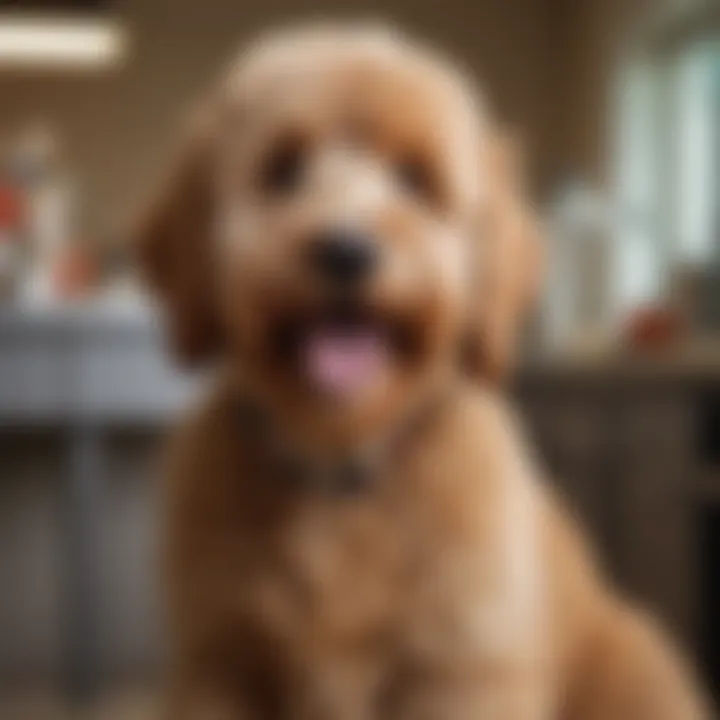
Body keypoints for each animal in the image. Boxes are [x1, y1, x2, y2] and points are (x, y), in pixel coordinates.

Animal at [138, 23, 712, 720]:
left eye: (415, 178)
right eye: (283, 169)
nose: (346, 250)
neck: (341, 468)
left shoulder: (461, 667)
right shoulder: (218, 665)